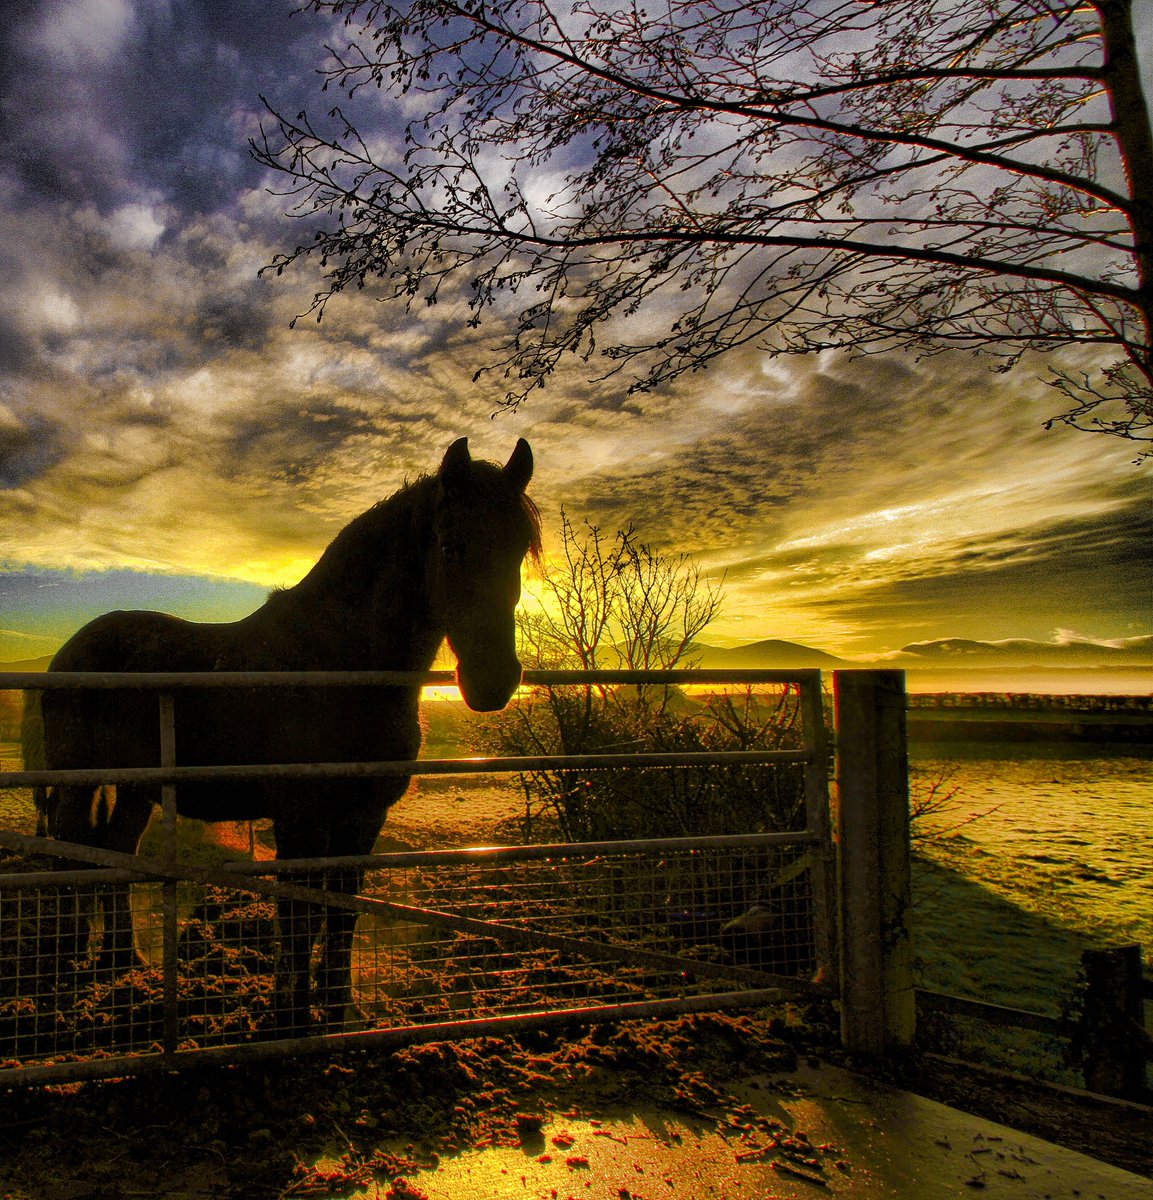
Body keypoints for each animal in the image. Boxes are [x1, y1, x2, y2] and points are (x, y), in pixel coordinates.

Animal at [26, 441, 539, 1032]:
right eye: (451, 545)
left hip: (137, 788)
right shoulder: (300, 817)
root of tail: (70, 651)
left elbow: (340, 916)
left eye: (520, 549)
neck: (338, 664)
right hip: (78, 783)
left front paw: (338, 1012)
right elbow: (298, 915)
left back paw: (122, 966)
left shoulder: (363, 817)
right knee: (68, 859)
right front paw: (288, 1014)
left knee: (114, 852)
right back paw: (60, 982)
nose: (493, 680)